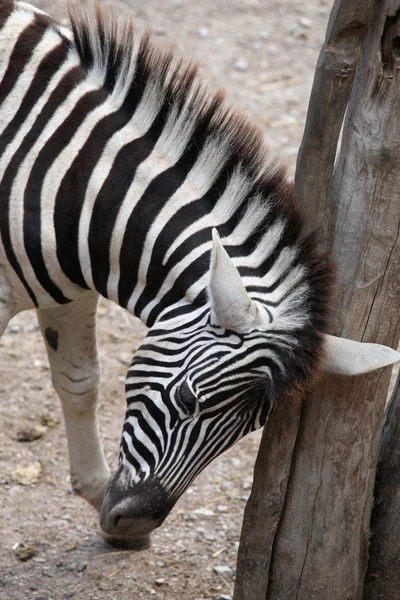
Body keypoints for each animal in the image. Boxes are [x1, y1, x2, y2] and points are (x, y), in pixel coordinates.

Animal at [0, 0, 398, 548]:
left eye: (249, 431)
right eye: (187, 398)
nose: (135, 522)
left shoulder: (69, 292)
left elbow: (79, 381)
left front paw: (96, 493)